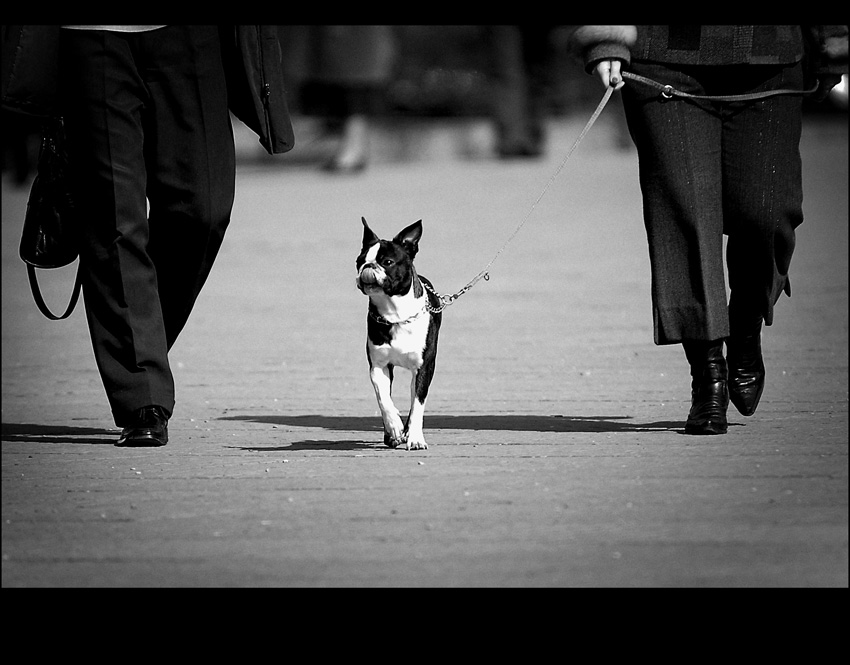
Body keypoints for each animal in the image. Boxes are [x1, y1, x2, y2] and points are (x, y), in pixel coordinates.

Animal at [354, 218, 440, 452]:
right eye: (359, 261)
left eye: (388, 262)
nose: (368, 267)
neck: (395, 314)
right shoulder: (378, 367)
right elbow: (384, 400)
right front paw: (393, 427)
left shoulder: (424, 368)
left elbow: (417, 405)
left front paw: (415, 438)